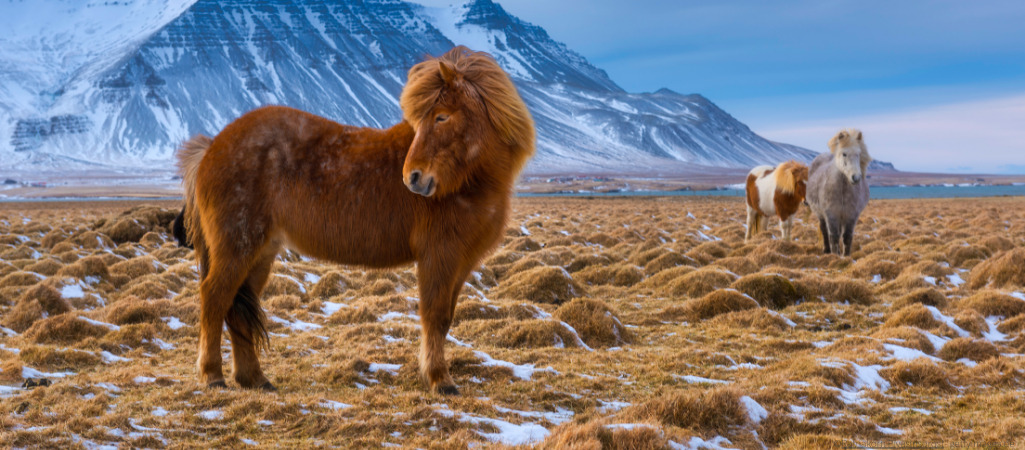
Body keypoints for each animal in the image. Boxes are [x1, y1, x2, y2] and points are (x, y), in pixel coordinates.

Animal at [176, 46, 537, 393]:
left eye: (441, 117)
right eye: (424, 119)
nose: (413, 178)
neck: (468, 182)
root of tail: (212, 146)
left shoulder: (462, 262)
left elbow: (446, 318)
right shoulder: (439, 256)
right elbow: (434, 316)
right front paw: (440, 381)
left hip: (261, 252)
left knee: (238, 308)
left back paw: (254, 379)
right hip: (236, 247)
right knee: (215, 298)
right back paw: (212, 376)